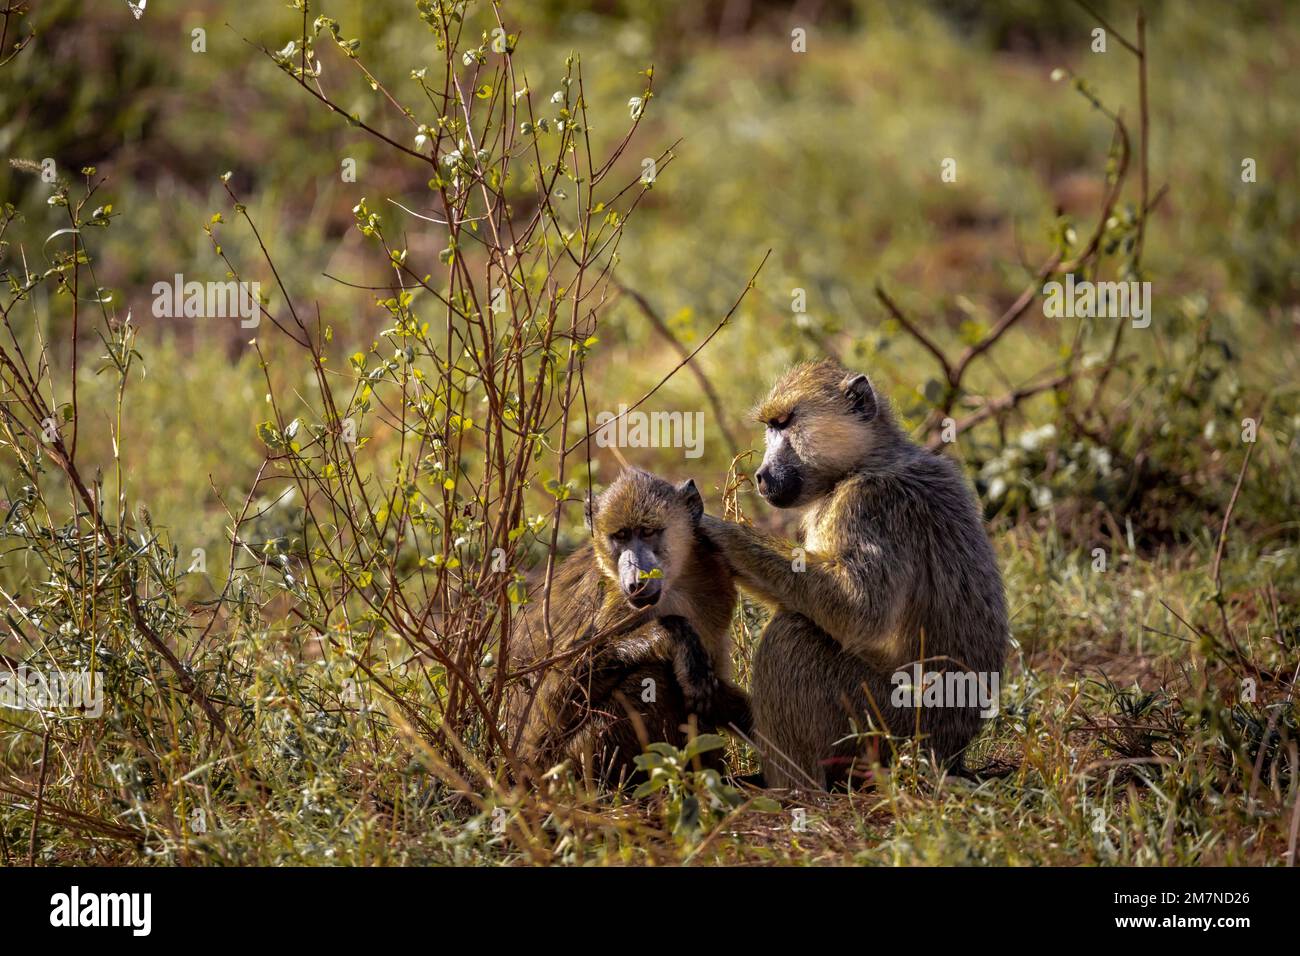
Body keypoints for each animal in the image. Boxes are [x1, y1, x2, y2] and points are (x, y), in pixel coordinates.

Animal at [505, 468, 750, 787]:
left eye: (647, 532)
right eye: (620, 536)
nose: (637, 581)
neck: (673, 586)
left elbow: (711, 693)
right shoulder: (610, 603)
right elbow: (547, 706)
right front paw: (670, 635)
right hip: (563, 767)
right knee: (651, 678)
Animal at [699, 359, 1008, 790]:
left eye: (786, 423)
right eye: (771, 426)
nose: (761, 475)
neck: (865, 462)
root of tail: (948, 756)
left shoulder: (867, 505)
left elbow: (858, 610)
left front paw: (716, 531)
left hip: (886, 726)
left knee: (792, 635)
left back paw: (792, 791)